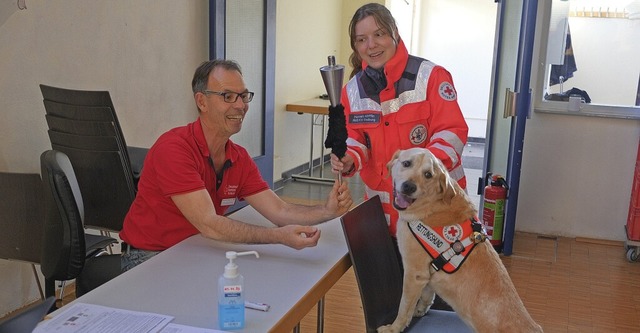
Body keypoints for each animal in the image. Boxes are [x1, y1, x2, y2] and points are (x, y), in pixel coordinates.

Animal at [378, 148, 544, 332]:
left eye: (428, 174)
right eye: (407, 163)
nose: (409, 187)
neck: (432, 204)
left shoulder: (414, 273)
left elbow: (404, 306)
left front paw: (394, 327)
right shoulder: (426, 273)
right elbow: (427, 295)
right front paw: (420, 309)